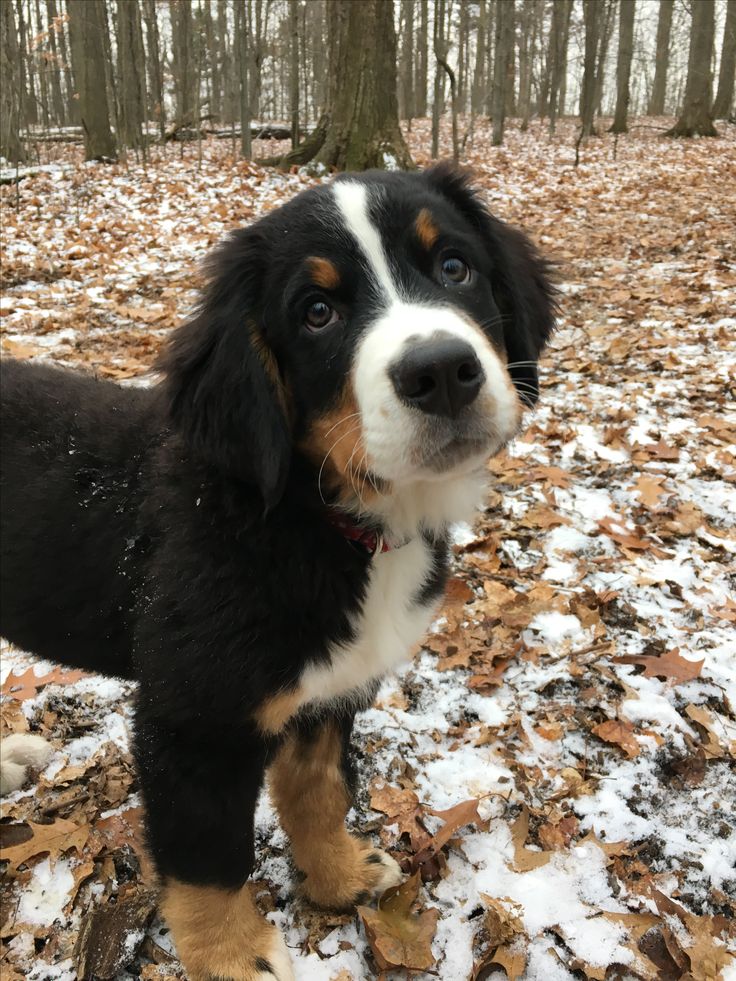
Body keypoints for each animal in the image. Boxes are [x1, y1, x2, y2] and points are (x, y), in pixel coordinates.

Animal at [0, 167, 552, 980]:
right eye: (317, 313)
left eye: (455, 267)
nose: (442, 372)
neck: (320, 518)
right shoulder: (192, 718)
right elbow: (208, 858)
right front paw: (232, 955)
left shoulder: (334, 686)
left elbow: (318, 790)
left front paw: (339, 875)